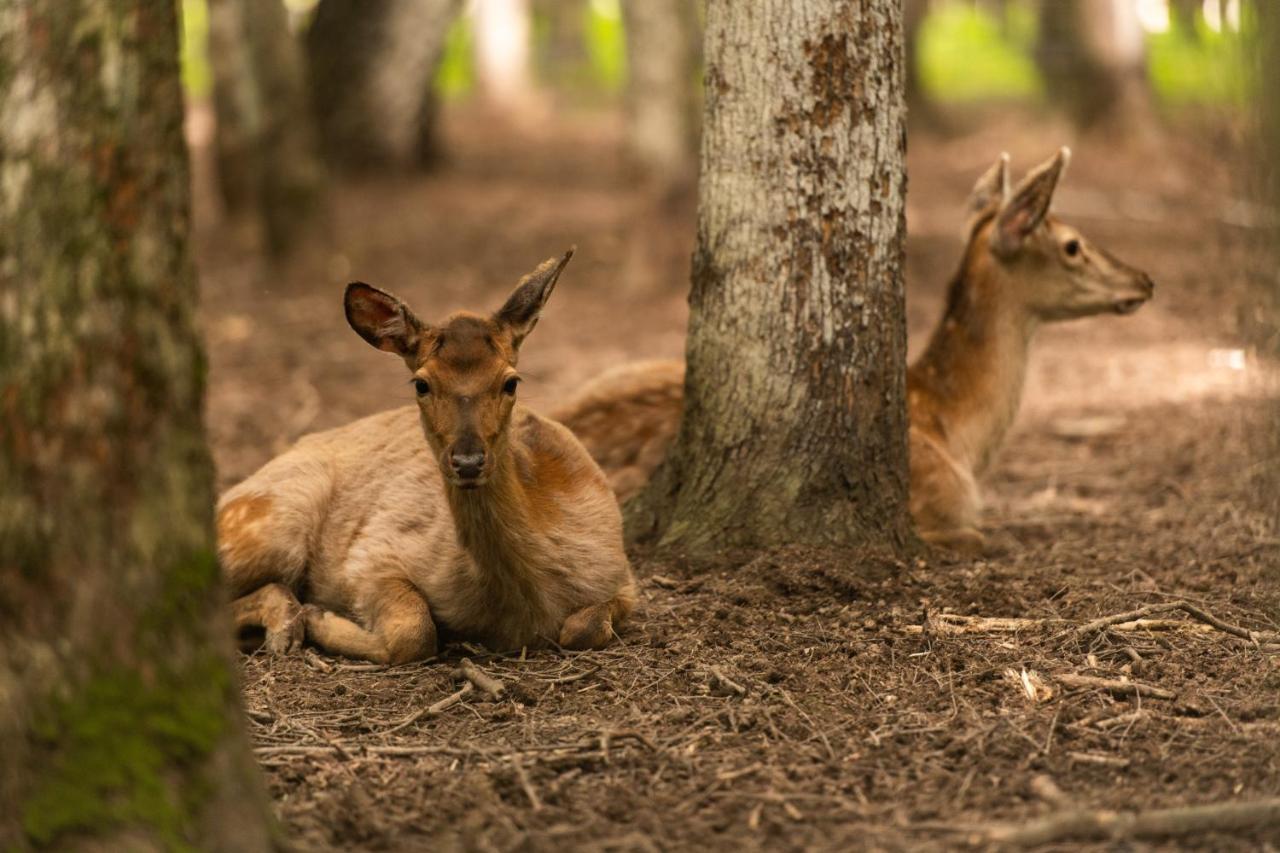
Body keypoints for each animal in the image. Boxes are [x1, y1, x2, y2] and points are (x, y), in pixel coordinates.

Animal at [222, 249, 640, 660]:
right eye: (421, 383)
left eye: (511, 382)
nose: (468, 462)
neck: (521, 608)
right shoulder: (372, 555)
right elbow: (415, 631)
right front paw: (320, 615)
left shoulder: (622, 577)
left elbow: (585, 627)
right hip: (274, 520)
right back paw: (285, 625)